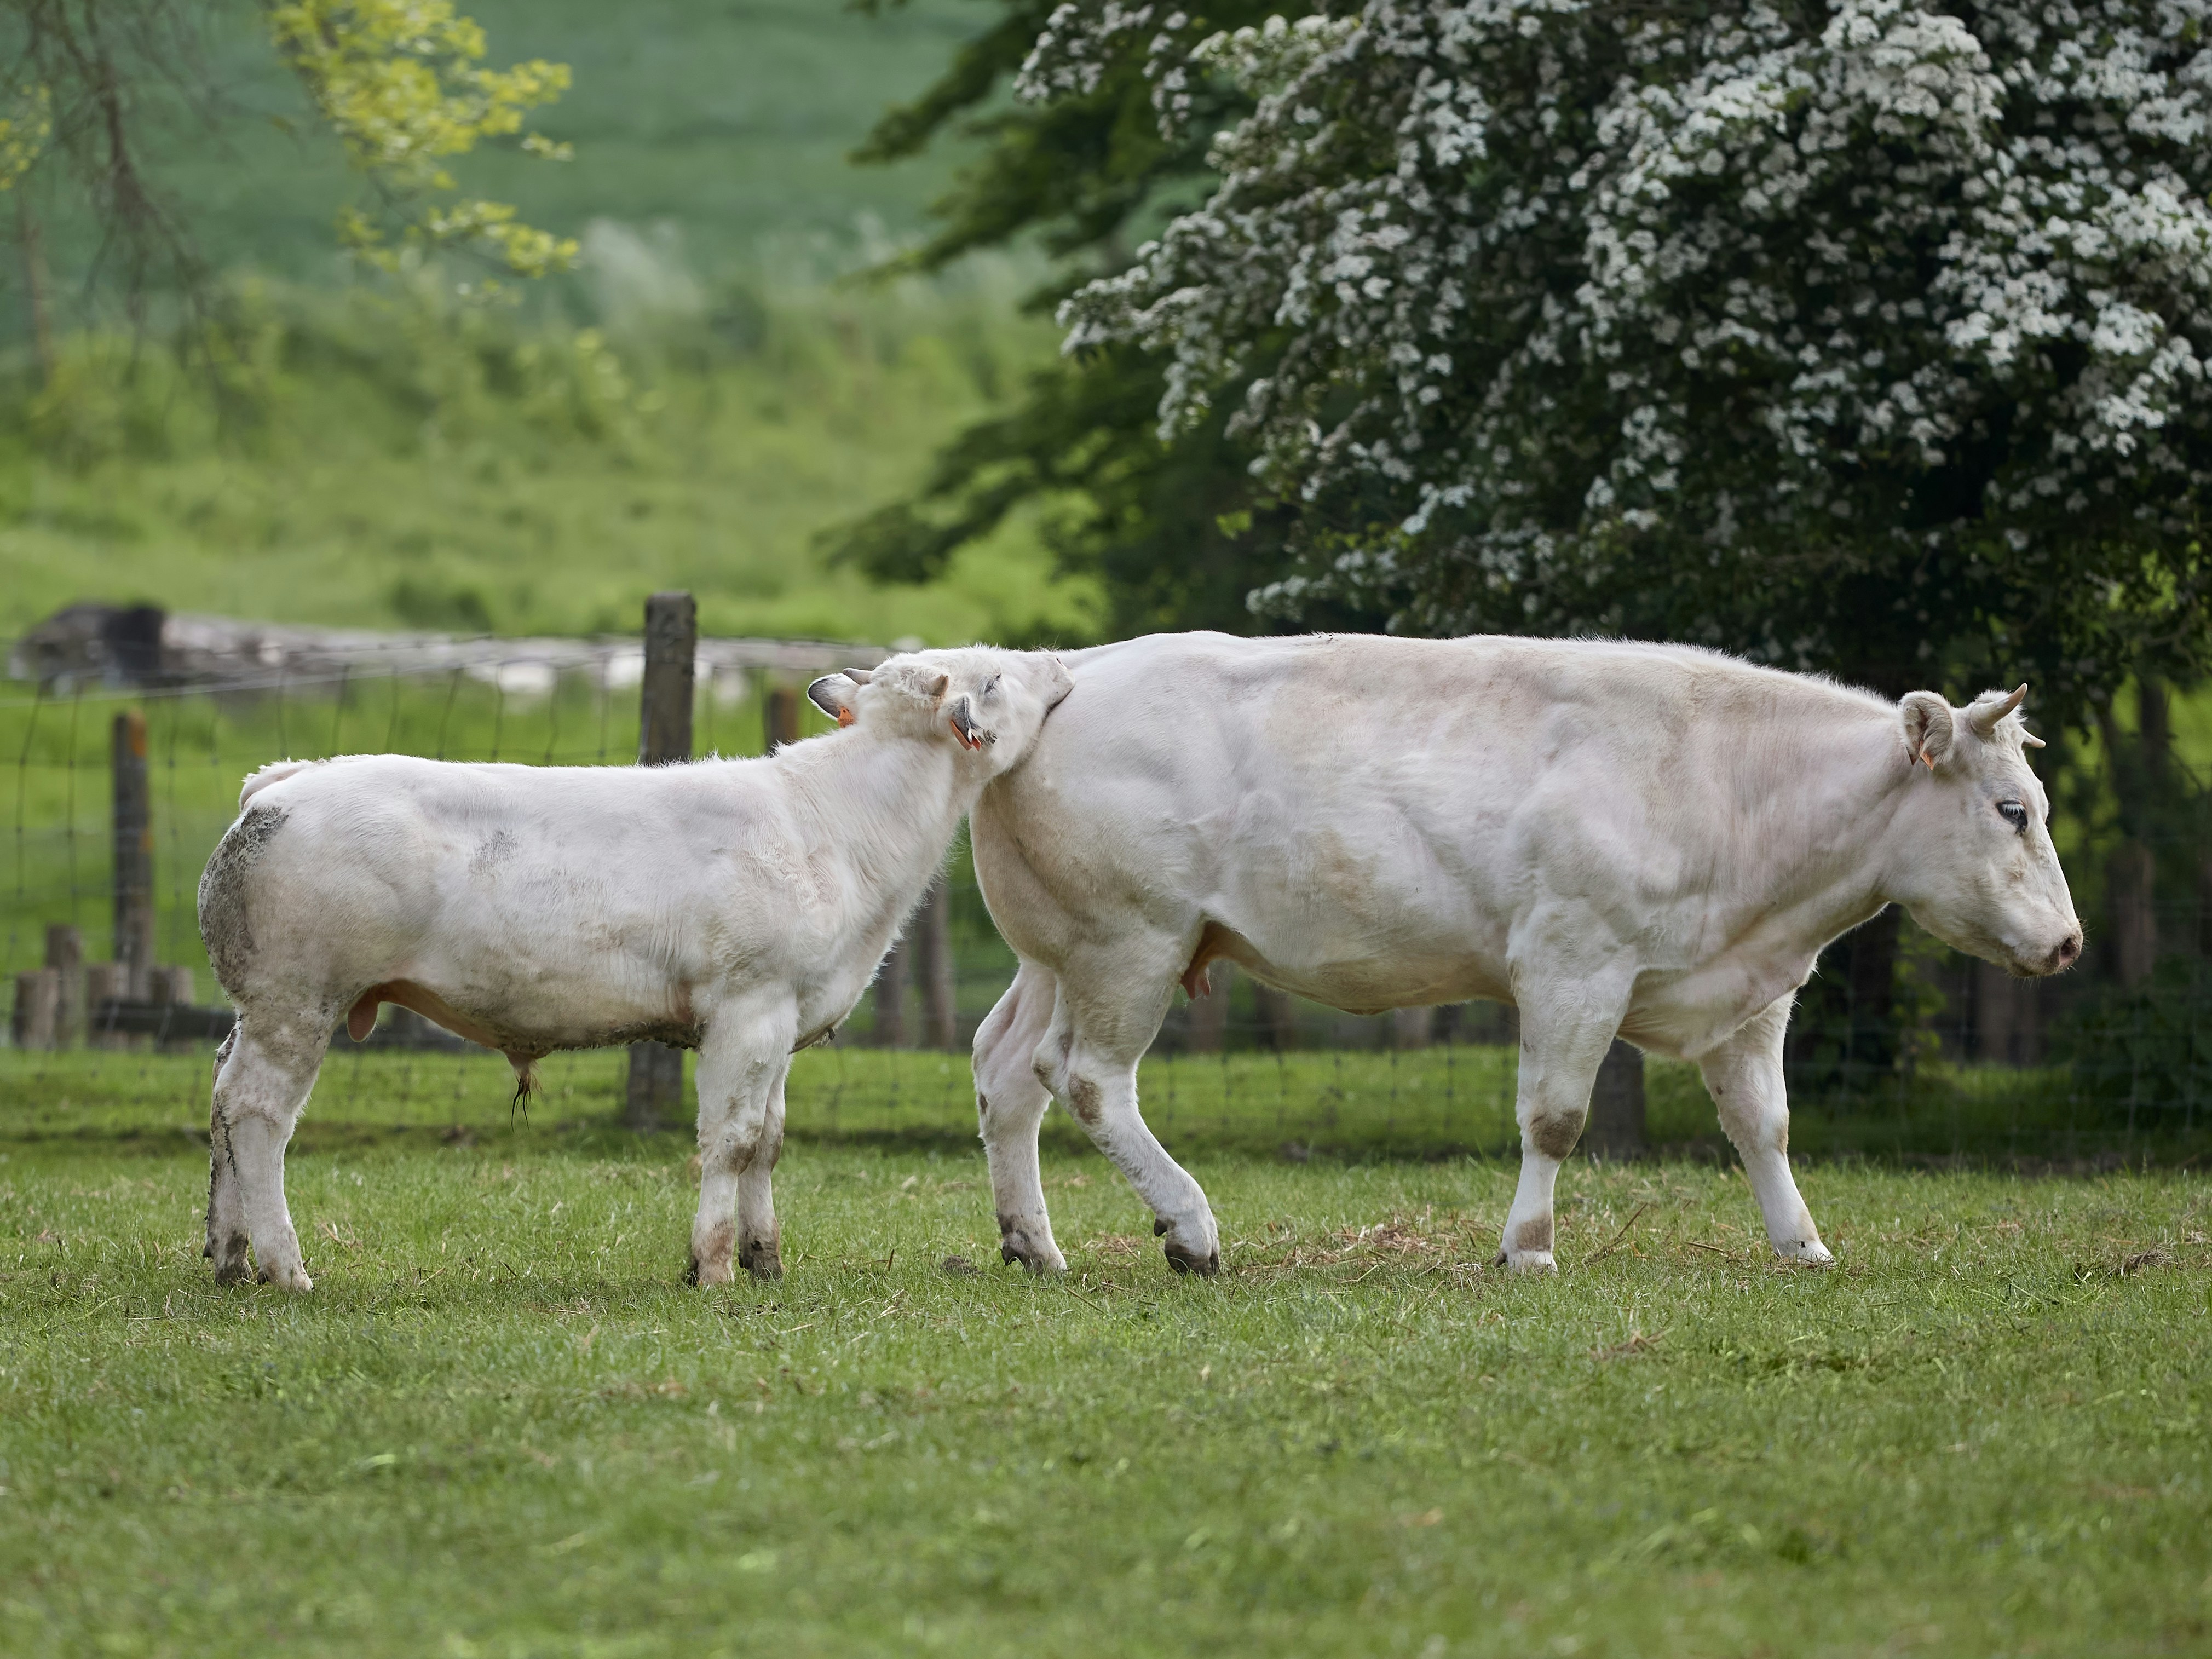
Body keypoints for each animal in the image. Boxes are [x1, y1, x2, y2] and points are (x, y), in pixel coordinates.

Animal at [196, 647, 1071, 1291]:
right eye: (995, 678)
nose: (1057, 662)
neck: (840, 822)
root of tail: (287, 781)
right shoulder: (748, 1007)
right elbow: (729, 1140)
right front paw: (712, 1268)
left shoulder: (785, 1015)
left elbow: (767, 1142)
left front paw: (764, 1259)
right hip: (298, 1000)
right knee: (259, 1114)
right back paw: (285, 1266)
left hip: (262, 1008)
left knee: (222, 1098)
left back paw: (229, 1254)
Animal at [965, 632, 2080, 1276]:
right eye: (2011, 809)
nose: (2070, 942)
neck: (1727, 780)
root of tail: (1070, 669)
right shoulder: (1572, 964)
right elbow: (1555, 1119)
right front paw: (1531, 1250)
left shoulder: (1752, 993)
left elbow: (1763, 1124)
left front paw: (1801, 1241)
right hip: (1132, 940)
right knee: (1088, 1077)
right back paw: (1190, 1227)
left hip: (1061, 952)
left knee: (1007, 1069)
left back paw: (1034, 1242)